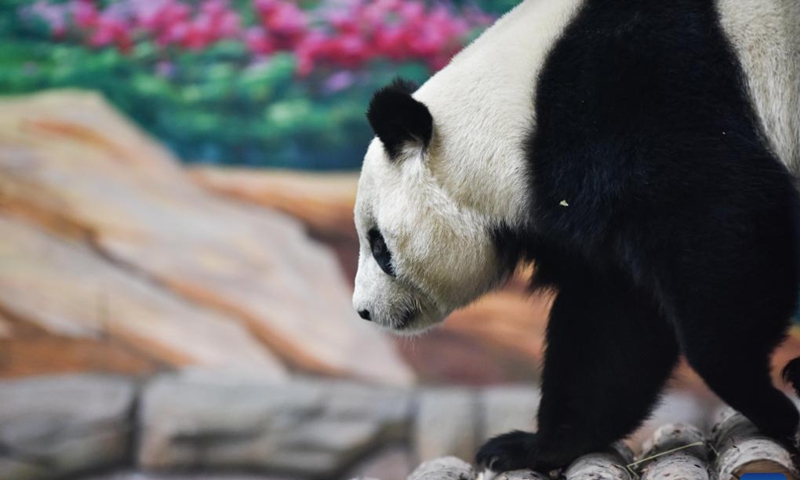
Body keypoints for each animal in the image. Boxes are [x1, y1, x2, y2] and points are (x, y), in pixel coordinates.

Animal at [352, 0, 800, 474]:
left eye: (379, 245)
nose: (364, 310)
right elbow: (611, 324)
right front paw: (527, 447)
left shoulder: (643, 96)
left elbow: (723, 224)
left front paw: (765, 401)